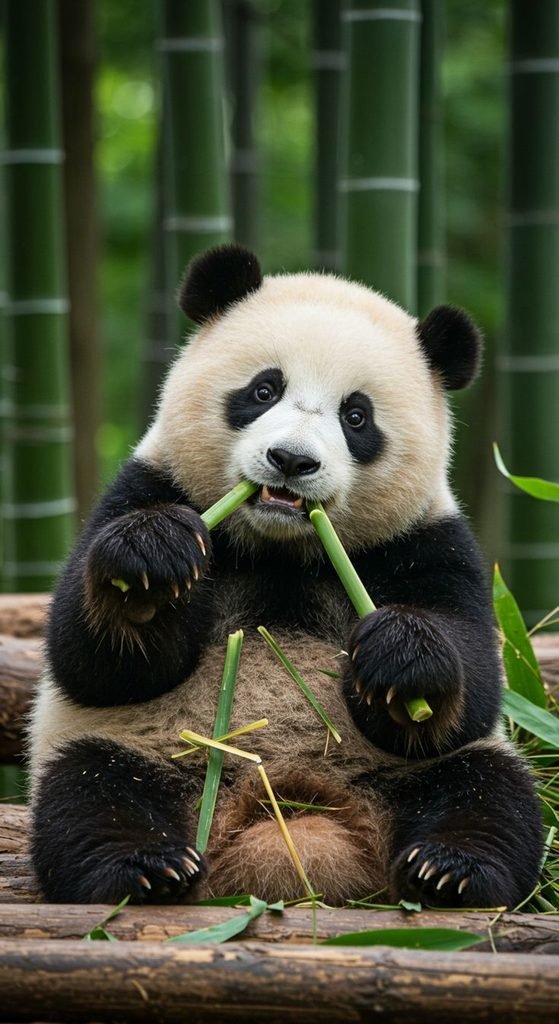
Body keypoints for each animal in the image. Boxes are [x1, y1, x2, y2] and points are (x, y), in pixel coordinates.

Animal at [29, 244, 543, 907]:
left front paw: (400, 651)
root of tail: (288, 816)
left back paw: (451, 868)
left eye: (357, 416)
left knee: (488, 791)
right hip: (142, 751)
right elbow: (92, 662)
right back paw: (144, 867)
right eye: (264, 388)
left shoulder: (426, 541)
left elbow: (471, 682)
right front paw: (148, 566)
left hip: (413, 777)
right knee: (90, 791)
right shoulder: (149, 486)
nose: (292, 461)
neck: (284, 550)